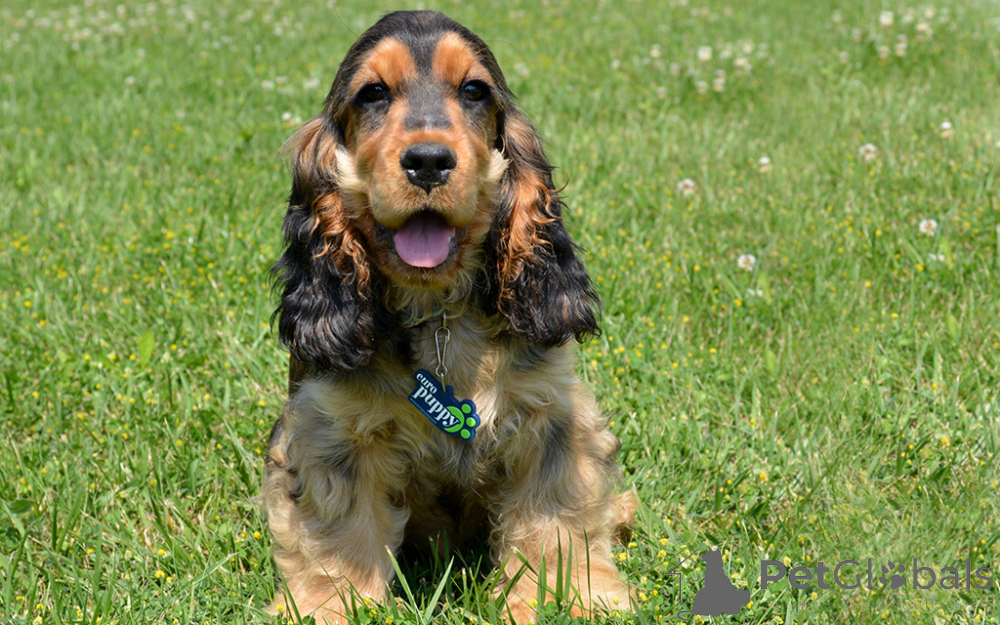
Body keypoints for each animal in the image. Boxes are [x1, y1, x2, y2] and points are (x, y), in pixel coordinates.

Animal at [263, 11, 636, 623]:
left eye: (473, 90)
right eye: (372, 93)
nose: (429, 161)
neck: (438, 310)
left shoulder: (552, 417)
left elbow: (555, 515)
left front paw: (568, 598)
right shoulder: (331, 430)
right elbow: (337, 528)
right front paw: (330, 604)